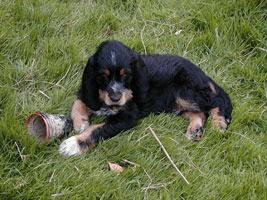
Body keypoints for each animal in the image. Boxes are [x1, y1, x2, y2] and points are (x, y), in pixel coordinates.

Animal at [58, 40, 232, 156]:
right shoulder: (89, 91)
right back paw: (195, 130)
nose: (115, 97)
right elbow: (78, 103)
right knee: (199, 114)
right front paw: (81, 123)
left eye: (126, 75)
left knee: (217, 101)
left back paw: (218, 125)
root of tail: (203, 74)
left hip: (187, 93)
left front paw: (73, 145)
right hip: (175, 104)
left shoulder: (127, 117)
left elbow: (98, 129)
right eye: (103, 75)